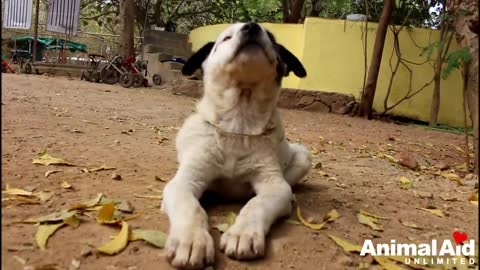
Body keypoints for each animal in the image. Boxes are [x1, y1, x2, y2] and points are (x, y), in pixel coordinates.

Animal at [161, 22, 312, 268]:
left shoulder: (273, 184)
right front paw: (191, 239)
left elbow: (256, 204)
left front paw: (243, 233)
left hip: (304, 155)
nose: (252, 27)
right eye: (226, 38)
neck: (238, 126)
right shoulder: (184, 182)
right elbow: (191, 207)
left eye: (271, 38)